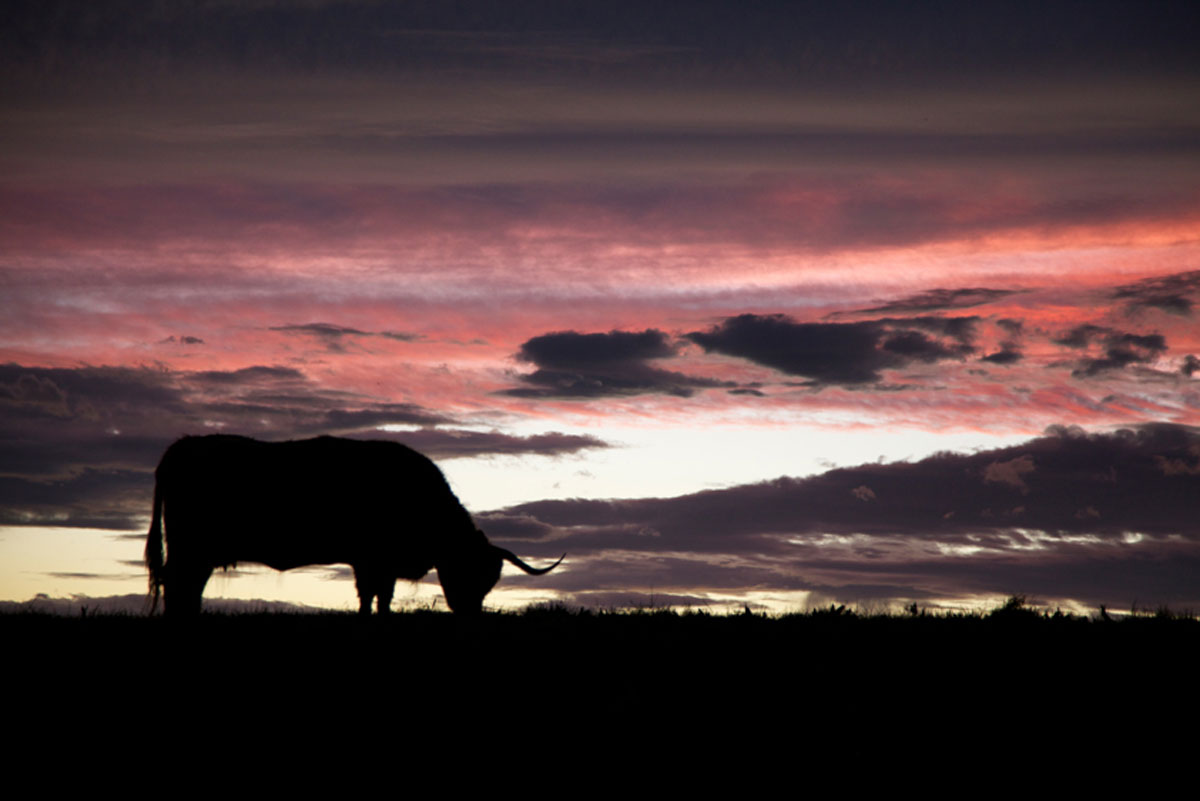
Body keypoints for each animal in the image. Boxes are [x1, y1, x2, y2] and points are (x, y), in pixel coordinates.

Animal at [145, 438, 561, 613]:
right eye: (468, 569)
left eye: (490, 580)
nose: (469, 612)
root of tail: (181, 446)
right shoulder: (373, 560)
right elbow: (373, 596)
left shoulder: (377, 563)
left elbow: (378, 597)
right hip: (191, 548)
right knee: (179, 586)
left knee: (186, 588)